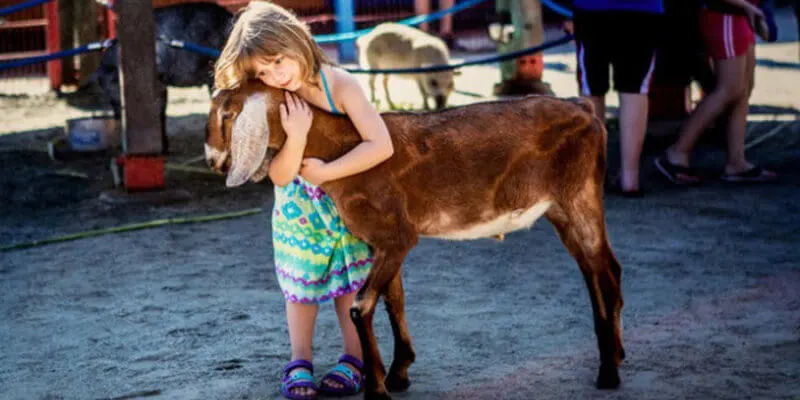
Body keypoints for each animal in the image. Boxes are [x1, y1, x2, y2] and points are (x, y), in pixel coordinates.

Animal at [205, 81, 624, 400]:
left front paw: (378, 389)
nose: (211, 159)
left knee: (603, 270)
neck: (343, 147)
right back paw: (615, 353)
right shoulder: (382, 243)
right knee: (598, 269)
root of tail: (584, 108)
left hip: (580, 196)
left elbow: (361, 306)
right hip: (560, 210)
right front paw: (398, 373)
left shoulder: (397, 236)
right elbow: (395, 300)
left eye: (227, 114)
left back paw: (608, 371)